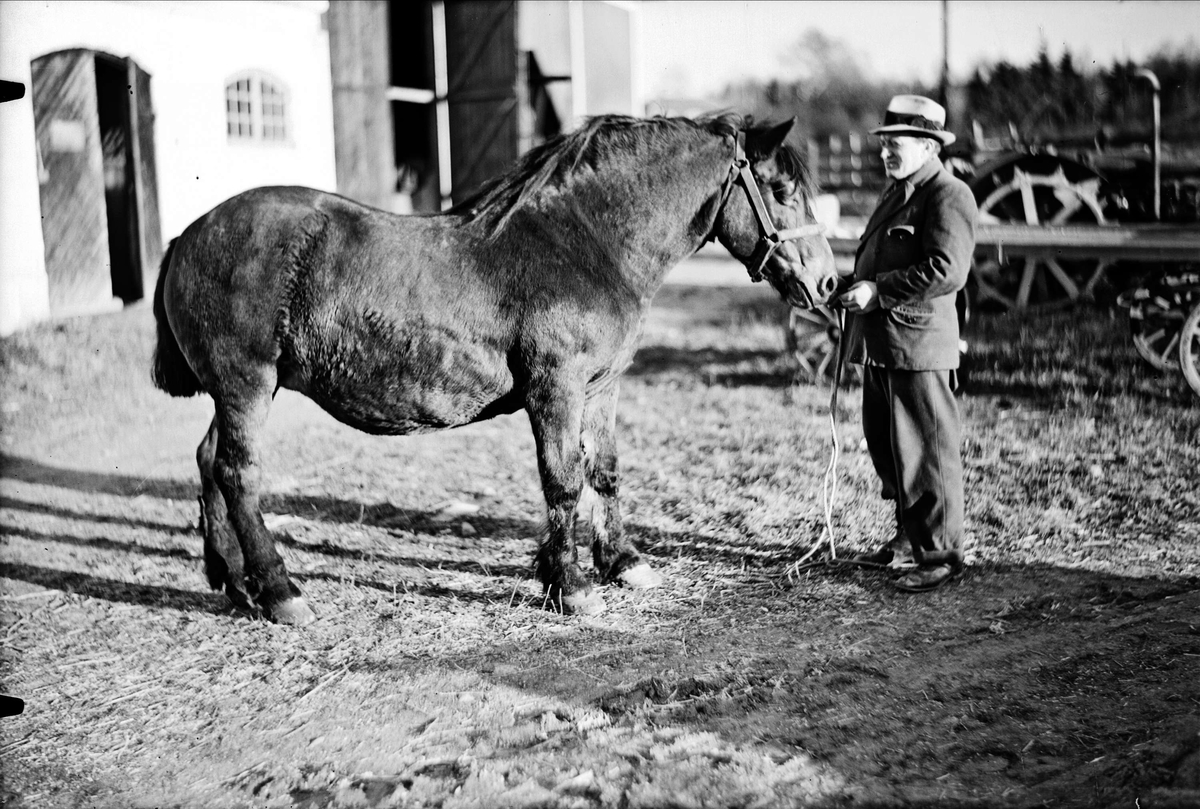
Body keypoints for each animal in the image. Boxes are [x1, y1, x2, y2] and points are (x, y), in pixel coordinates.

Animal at [152, 111, 835, 624]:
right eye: (782, 191)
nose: (828, 281)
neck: (584, 242)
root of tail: (190, 233)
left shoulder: (602, 390)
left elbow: (605, 471)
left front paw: (623, 563)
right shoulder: (556, 389)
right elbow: (562, 481)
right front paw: (571, 586)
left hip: (239, 392)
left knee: (209, 460)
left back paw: (230, 578)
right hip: (247, 384)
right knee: (238, 472)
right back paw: (280, 592)